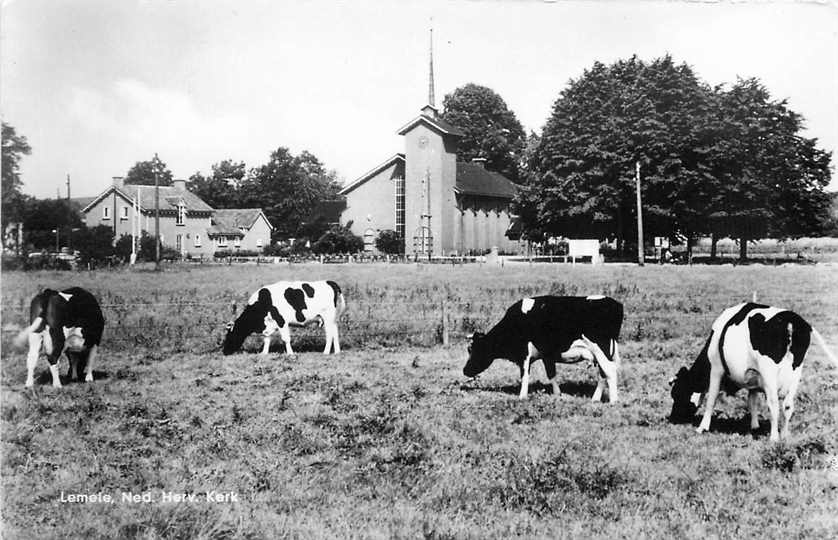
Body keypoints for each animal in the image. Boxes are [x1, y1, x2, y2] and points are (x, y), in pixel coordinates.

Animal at [466, 296, 624, 400]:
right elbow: (551, 374)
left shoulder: (524, 353)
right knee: (603, 374)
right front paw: (557, 393)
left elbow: (524, 375)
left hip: (600, 349)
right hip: (605, 352)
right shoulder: (547, 355)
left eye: (474, 349)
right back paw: (595, 399)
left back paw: (613, 401)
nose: (465, 370)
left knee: (609, 370)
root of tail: (613, 302)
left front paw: (522, 396)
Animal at [668, 302, 838, 440]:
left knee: (774, 404)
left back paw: (774, 438)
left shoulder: (716, 368)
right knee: (788, 405)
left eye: (677, 393)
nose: (673, 419)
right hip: (797, 372)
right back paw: (784, 435)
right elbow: (752, 401)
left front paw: (702, 427)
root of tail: (792, 319)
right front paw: (755, 426)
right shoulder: (754, 377)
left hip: (769, 371)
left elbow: (712, 398)